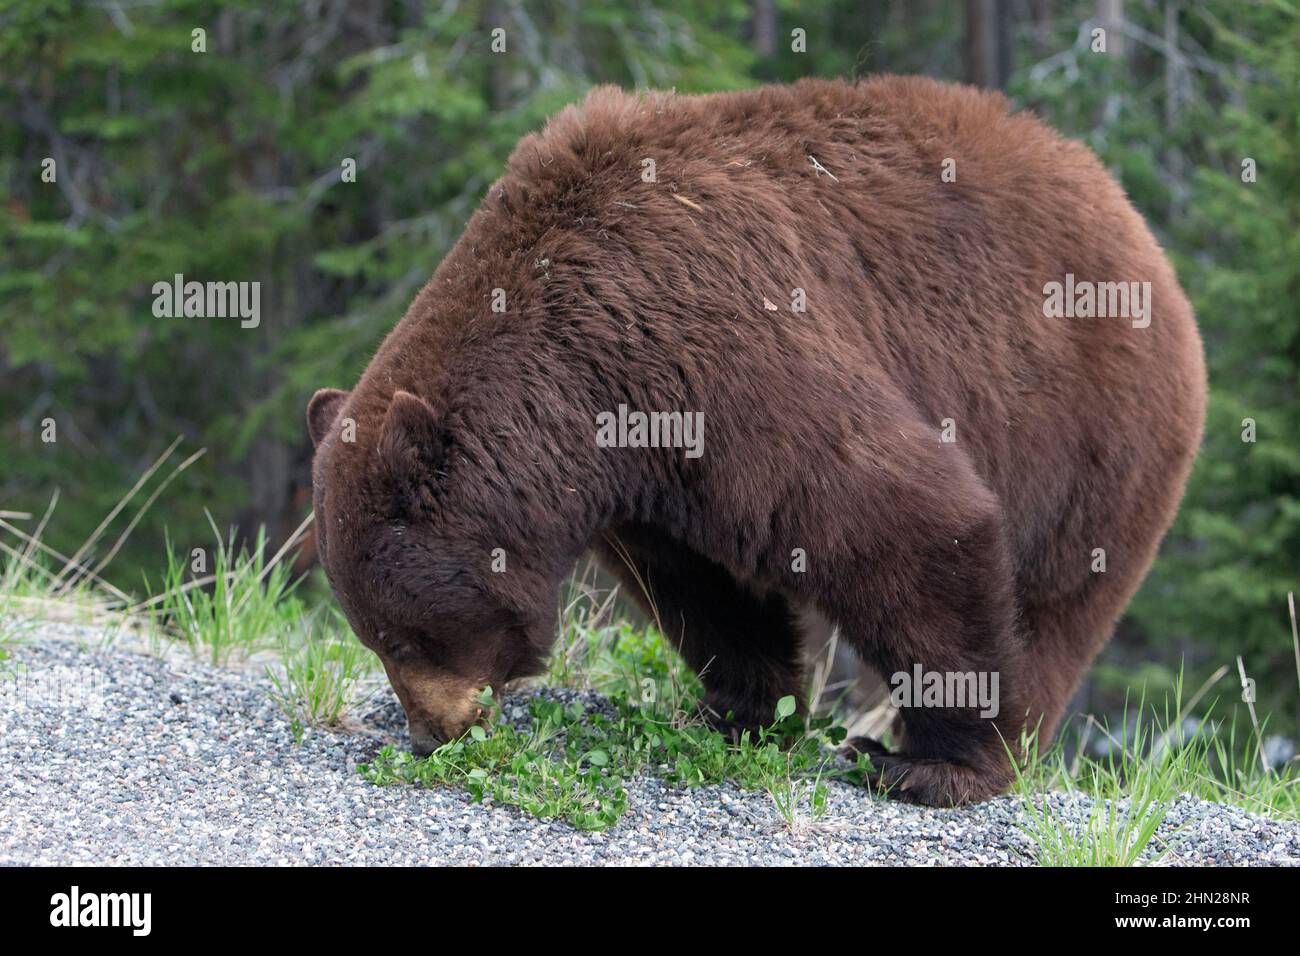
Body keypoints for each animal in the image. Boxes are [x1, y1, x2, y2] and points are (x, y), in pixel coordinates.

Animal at [306, 76, 1206, 806]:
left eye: (401, 635)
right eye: (369, 634)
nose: (430, 733)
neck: (576, 381)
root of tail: (1130, 215)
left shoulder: (723, 346)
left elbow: (903, 516)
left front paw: (930, 766)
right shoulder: (651, 456)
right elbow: (701, 584)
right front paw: (738, 709)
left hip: (1089, 432)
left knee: (1055, 598)